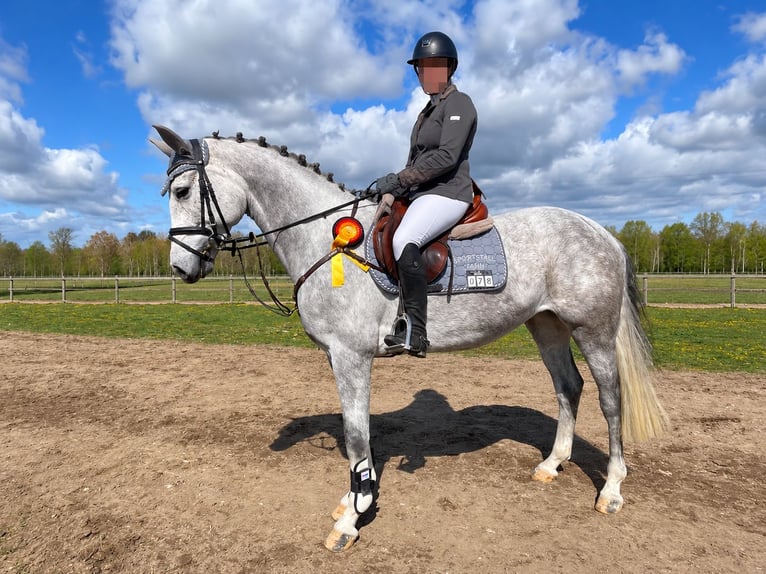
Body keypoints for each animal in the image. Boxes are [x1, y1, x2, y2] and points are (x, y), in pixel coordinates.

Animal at [150, 124, 668, 552]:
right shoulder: (339, 358)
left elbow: (356, 434)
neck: (325, 240)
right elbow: (358, 436)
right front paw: (354, 501)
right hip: (547, 326)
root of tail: (600, 231)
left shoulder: (351, 357)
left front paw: (351, 520)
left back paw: (612, 490)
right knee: (568, 387)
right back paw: (551, 465)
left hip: (592, 330)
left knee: (609, 398)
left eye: (181, 190)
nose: (181, 268)